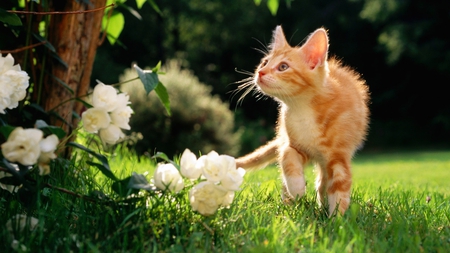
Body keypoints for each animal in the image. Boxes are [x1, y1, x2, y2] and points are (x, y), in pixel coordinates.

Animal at [236, 25, 370, 215]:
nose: (260, 72)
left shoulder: (339, 155)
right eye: (265, 63)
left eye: (283, 66)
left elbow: (340, 185)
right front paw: (297, 188)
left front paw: (337, 218)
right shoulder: (295, 144)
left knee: (323, 180)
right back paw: (289, 203)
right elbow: (287, 156)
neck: (303, 109)